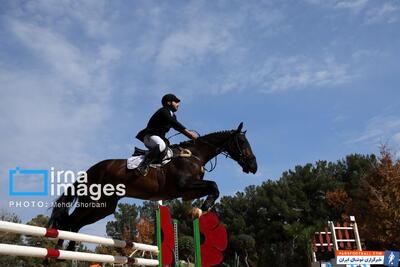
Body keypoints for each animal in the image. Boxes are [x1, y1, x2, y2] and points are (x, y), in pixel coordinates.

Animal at [48, 123, 258, 251]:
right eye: (241, 142)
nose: (254, 166)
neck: (195, 155)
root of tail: (91, 170)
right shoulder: (184, 185)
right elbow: (214, 186)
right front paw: (199, 210)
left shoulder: (187, 192)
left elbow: (213, 188)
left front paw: (198, 210)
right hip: (94, 200)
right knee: (70, 221)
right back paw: (60, 251)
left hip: (104, 207)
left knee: (75, 223)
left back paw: (69, 250)